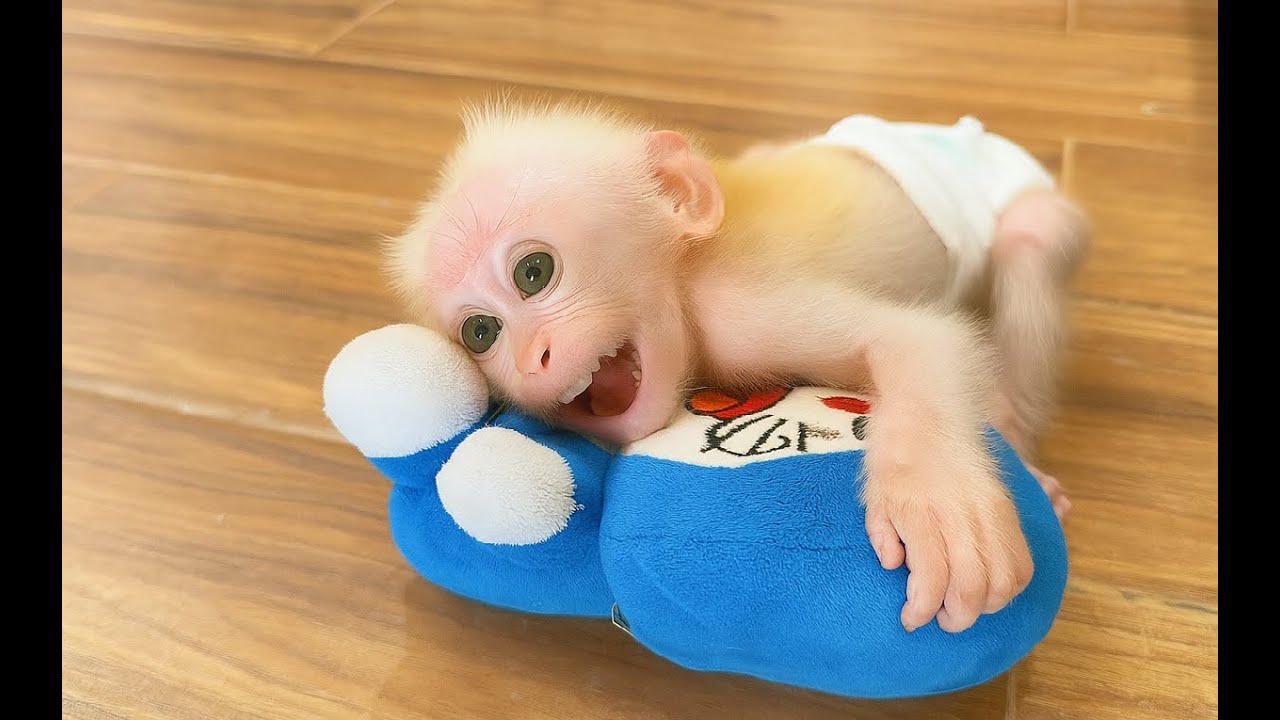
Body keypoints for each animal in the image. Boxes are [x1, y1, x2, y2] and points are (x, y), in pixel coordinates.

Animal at [386, 100, 1089, 634]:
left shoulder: (738, 310)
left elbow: (916, 338)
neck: (685, 278)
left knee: (1030, 232)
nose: (534, 361)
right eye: (481, 333)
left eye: (533, 272)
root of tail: (957, 133)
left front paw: (940, 503)